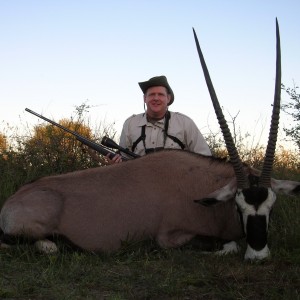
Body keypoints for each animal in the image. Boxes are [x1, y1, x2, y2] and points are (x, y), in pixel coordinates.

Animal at [0, 18, 298, 258]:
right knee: (36, 244)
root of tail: (13, 201)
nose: (258, 255)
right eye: (239, 205)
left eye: (271, 206)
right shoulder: (169, 237)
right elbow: (227, 245)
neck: (200, 185)